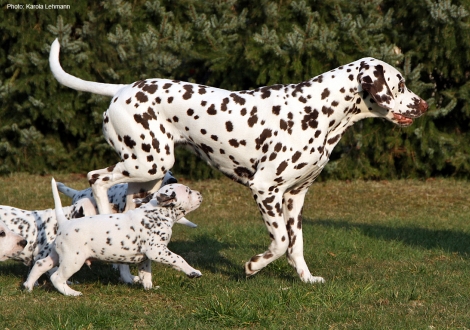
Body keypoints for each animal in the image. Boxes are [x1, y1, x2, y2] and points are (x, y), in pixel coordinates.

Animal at [24, 179, 202, 298]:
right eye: (188, 191)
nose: (200, 193)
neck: (156, 213)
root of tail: (65, 222)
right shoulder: (157, 251)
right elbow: (178, 259)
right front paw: (192, 271)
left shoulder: (146, 257)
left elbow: (146, 274)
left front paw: (149, 287)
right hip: (72, 260)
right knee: (56, 277)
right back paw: (71, 293)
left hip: (56, 255)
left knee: (40, 265)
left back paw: (28, 286)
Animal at [49, 38, 428, 284]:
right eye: (399, 84)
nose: (424, 105)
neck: (316, 109)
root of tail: (122, 89)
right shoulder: (266, 190)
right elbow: (280, 243)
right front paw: (253, 266)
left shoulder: (296, 198)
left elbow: (297, 246)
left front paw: (306, 279)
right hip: (148, 162)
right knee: (97, 178)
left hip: (149, 176)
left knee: (126, 206)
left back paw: (130, 273)